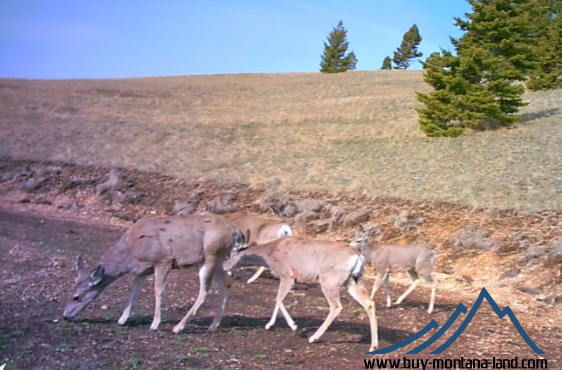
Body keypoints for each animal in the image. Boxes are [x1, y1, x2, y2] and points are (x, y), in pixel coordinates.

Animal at [61, 212, 247, 334]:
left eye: (76, 297)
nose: (65, 316)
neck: (130, 251)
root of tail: (235, 231)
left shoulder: (163, 260)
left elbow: (158, 290)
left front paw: (154, 324)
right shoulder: (142, 269)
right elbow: (133, 290)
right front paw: (122, 319)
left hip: (211, 255)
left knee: (205, 290)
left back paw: (178, 327)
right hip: (217, 259)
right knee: (226, 282)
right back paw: (213, 326)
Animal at [226, 236, 376, 352]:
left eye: (228, 255)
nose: (224, 267)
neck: (270, 254)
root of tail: (357, 256)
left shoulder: (288, 274)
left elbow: (278, 299)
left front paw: (296, 328)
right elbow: (278, 300)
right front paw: (269, 325)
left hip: (329, 280)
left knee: (336, 306)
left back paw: (313, 337)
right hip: (353, 280)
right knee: (369, 303)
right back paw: (373, 346)